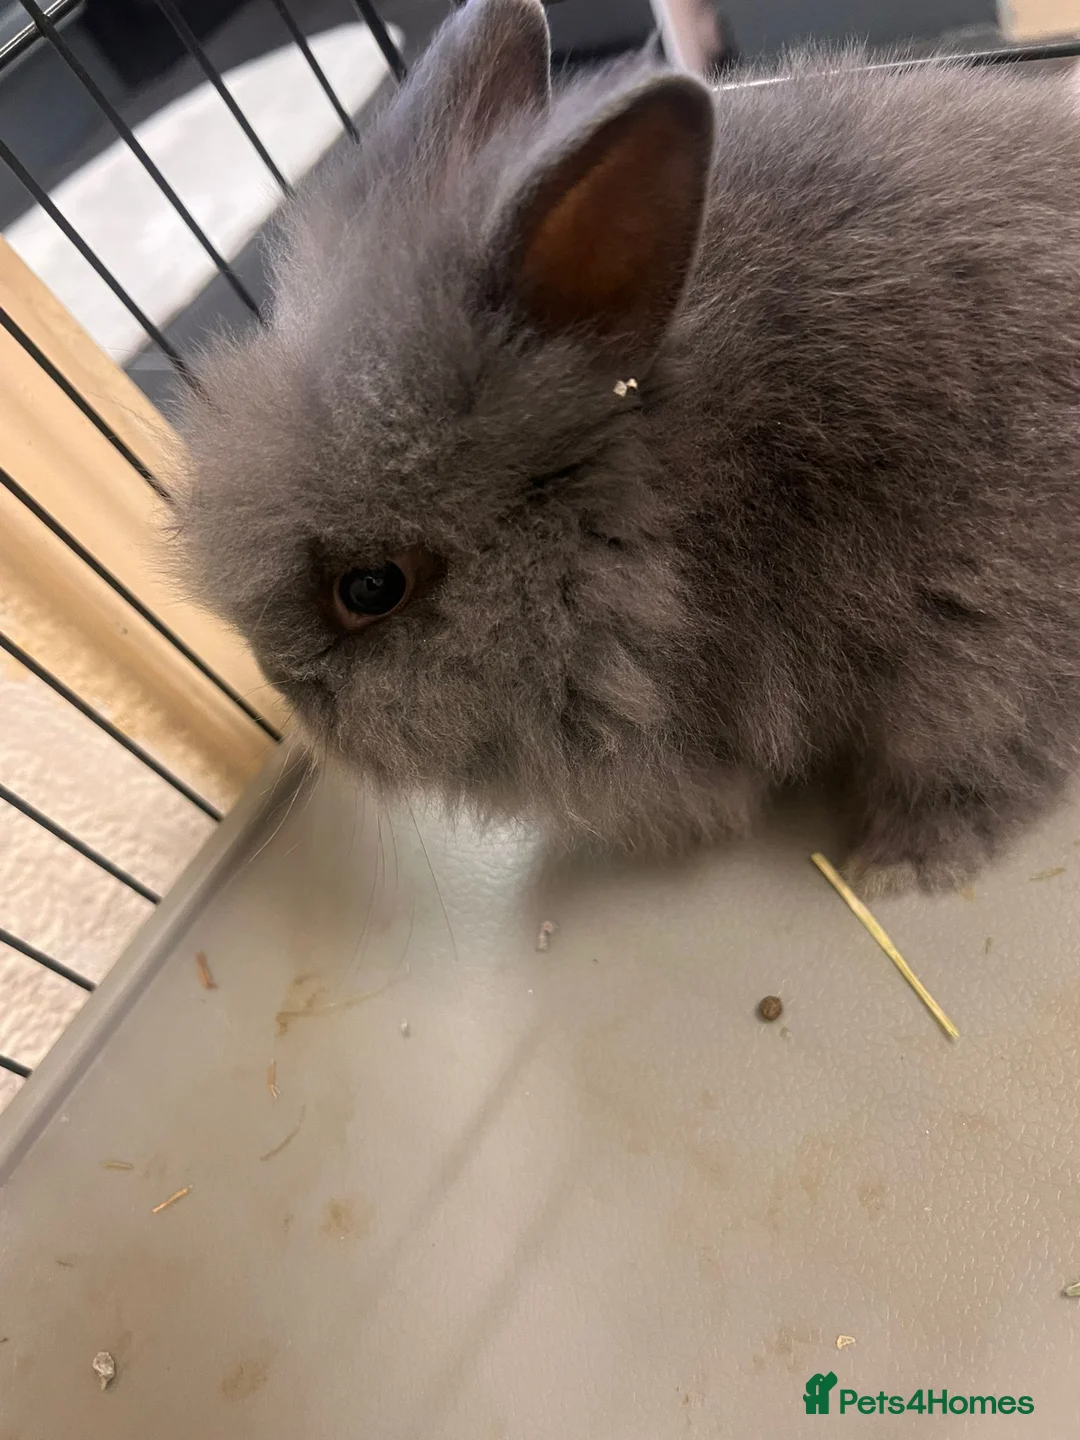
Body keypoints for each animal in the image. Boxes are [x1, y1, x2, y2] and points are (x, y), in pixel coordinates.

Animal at [171, 0, 1080, 897]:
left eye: (370, 588)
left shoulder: (975, 632)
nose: (286, 688)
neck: (681, 514)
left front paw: (901, 867)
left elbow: (977, 758)